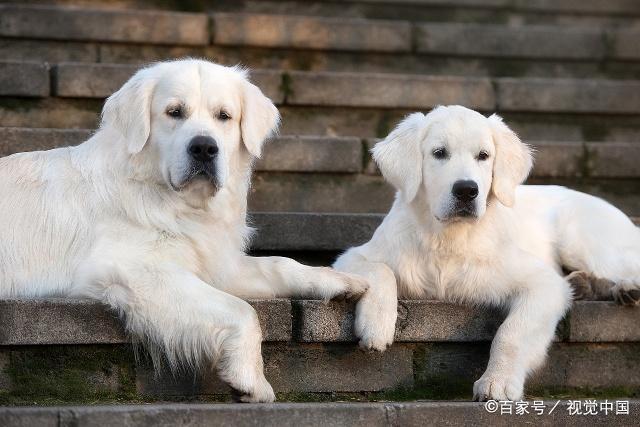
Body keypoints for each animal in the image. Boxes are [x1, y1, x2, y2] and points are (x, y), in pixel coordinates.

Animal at [0, 60, 370, 404]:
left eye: (224, 116)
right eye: (174, 112)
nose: (204, 147)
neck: (178, 203)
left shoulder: (214, 260)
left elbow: (279, 264)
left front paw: (338, 280)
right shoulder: (133, 270)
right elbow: (242, 309)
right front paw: (250, 378)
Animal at [336, 106, 640, 402]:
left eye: (483, 156)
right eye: (439, 153)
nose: (467, 190)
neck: (448, 239)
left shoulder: (544, 283)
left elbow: (512, 332)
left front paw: (498, 381)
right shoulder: (353, 256)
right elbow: (380, 269)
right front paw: (376, 325)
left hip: (578, 238)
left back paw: (625, 287)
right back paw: (586, 284)